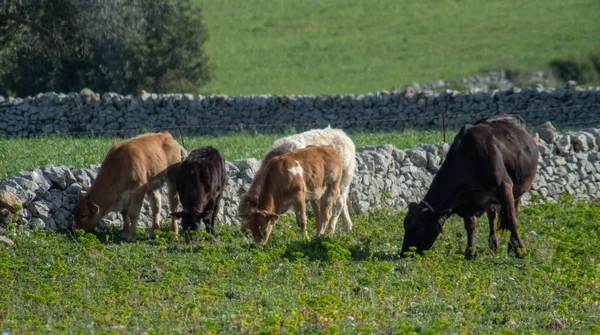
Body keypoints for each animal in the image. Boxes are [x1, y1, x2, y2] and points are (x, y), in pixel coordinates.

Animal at [404, 113, 540, 260]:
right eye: (405, 225)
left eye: (417, 228)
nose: (403, 253)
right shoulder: (466, 199)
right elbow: (470, 225)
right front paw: (470, 252)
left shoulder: (505, 186)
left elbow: (511, 220)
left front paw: (522, 250)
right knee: (492, 217)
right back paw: (493, 246)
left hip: (518, 191)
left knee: (515, 213)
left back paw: (512, 246)